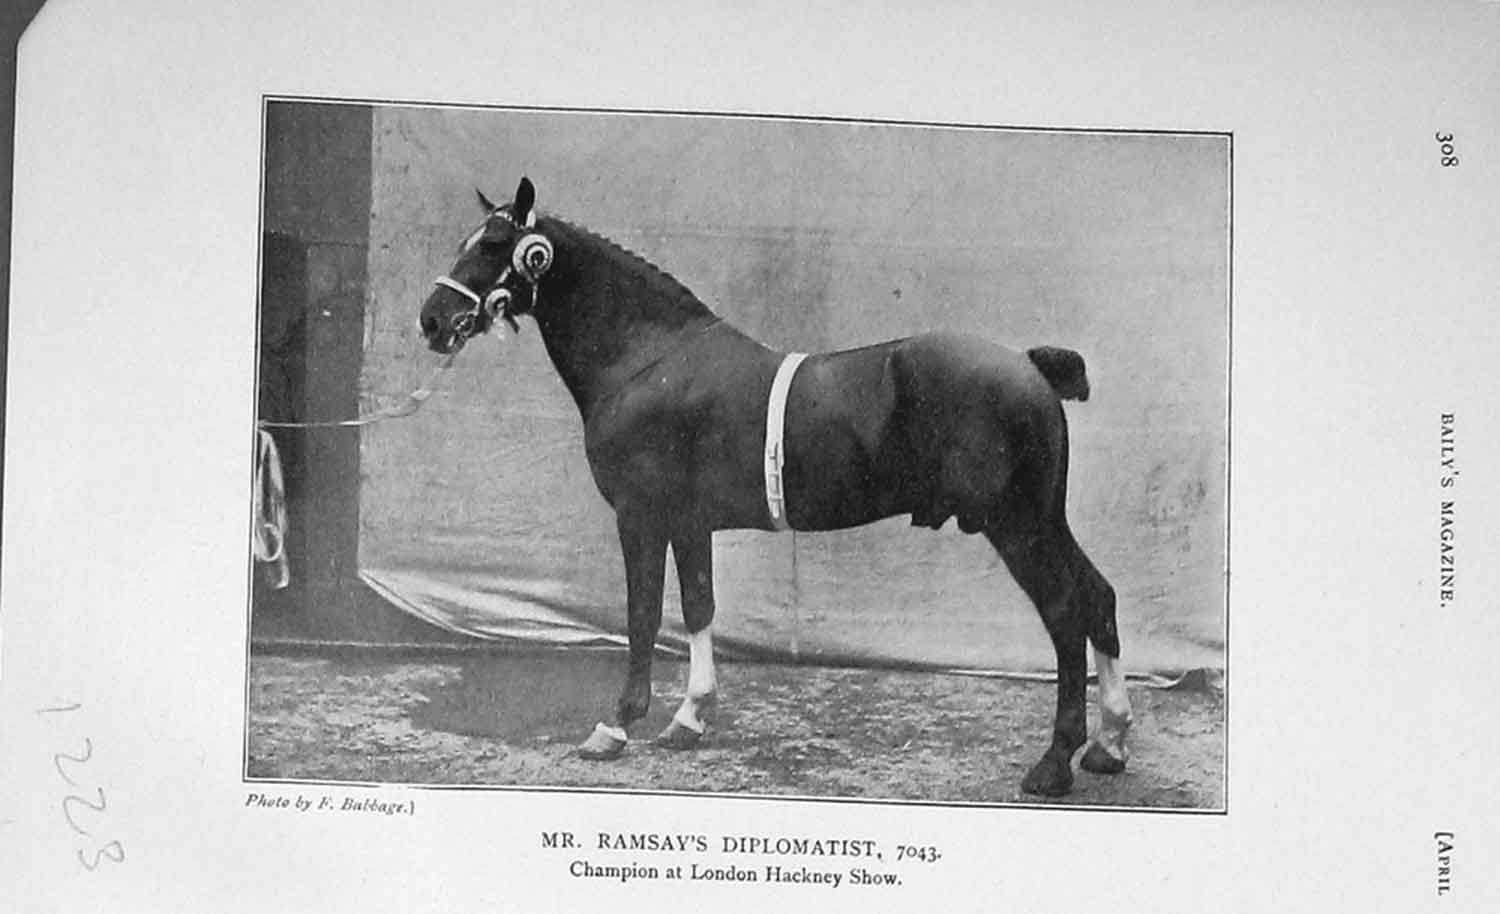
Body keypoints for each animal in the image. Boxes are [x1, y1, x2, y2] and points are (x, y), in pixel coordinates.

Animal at [418, 177, 1133, 797]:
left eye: (494, 244)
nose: (433, 319)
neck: (648, 359)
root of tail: (1030, 366)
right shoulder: (689, 522)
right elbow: (698, 606)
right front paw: (689, 718)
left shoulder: (639, 516)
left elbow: (643, 616)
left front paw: (615, 726)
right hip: (1044, 520)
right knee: (1097, 596)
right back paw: (1110, 744)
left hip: (1016, 525)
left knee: (1066, 612)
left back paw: (1054, 762)